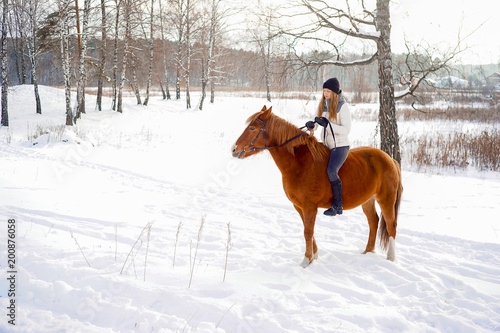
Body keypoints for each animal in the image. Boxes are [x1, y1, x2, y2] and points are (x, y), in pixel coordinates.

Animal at [231, 105, 402, 266]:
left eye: (252, 128)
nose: (234, 149)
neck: (300, 164)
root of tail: (390, 159)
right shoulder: (299, 207)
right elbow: (308, 231)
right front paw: (314, 255)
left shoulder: (309, 207)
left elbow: (308, 232)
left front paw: (306, 260)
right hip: (367, 200)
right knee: (373, 221)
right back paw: (368, 251)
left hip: (386, 200)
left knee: (391, 224)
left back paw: (391, 257)